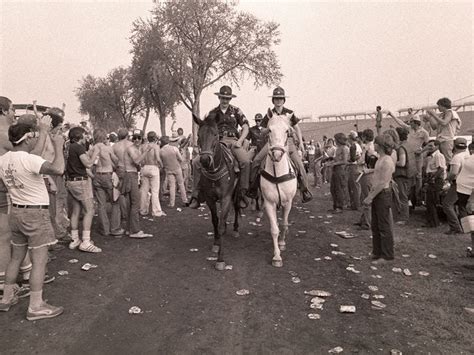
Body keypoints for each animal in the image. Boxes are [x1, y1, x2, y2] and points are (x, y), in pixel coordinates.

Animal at [193, 115, 241, 272]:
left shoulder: (225, 197)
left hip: (236, 192)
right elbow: (215, 221)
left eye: (215, 134)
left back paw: (235, 229)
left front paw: (220, 259)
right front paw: (216, 243)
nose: (204, 160)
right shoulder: (210, 198)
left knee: (236, 206)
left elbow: (220, 225)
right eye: (199, 135)